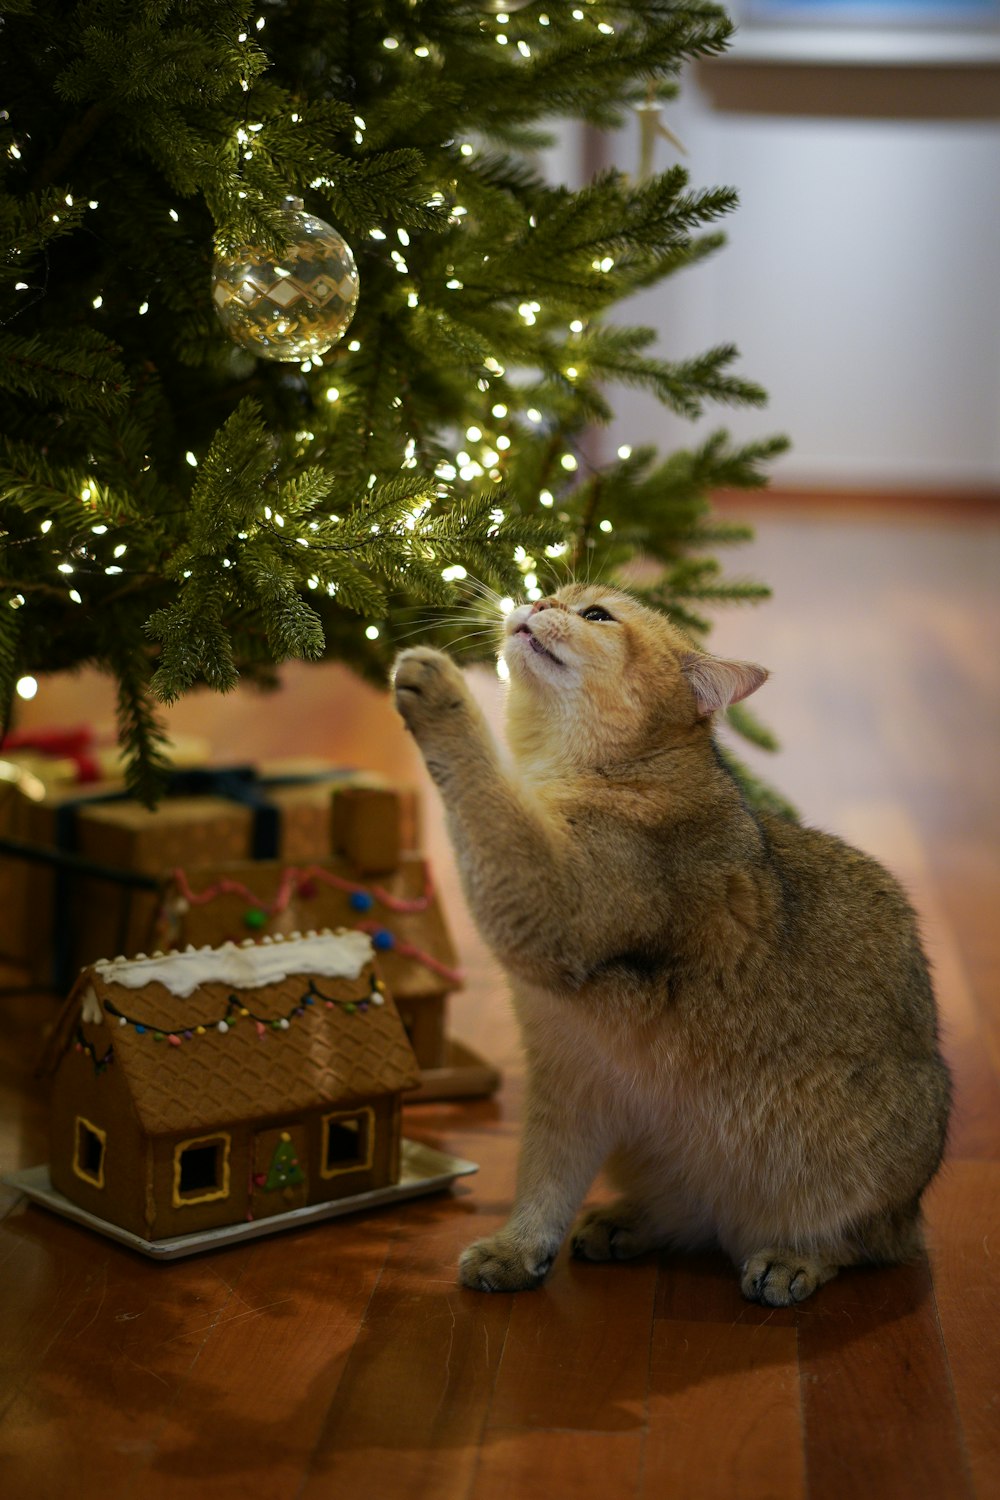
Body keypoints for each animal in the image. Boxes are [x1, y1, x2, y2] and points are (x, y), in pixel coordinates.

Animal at [389, 579, 953, 1308]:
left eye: (596, 614)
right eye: (554, 592)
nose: (535, 601)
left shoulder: (550, 905)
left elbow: (488, 800)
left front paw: (441, 692)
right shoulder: (567, 1076)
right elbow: (544, 1176)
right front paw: (518, 1248)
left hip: (857, 1175)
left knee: (857, 1241)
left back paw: (793, 1258)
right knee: (691, 1217)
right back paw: (628, 1222)